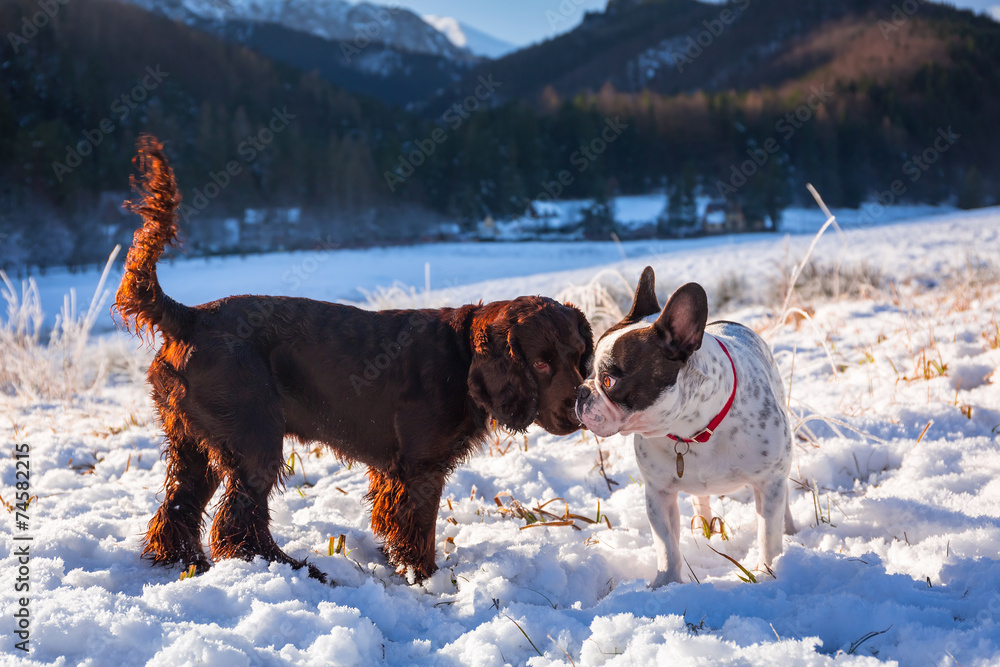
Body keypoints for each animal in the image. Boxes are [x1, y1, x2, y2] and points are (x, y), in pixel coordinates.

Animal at [115, 137, 592, 584]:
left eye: (579, 357)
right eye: (541, 364)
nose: (579, 413)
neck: (461, 356)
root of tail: (188, 317)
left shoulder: (393, 470)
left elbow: (393, 521)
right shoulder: (421, 468)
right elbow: (420, 529)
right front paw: (425, 578)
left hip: (192, 443)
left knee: (177, 507)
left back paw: (188, 562)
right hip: (254, 439)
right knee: (238, 521)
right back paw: (293, 568)